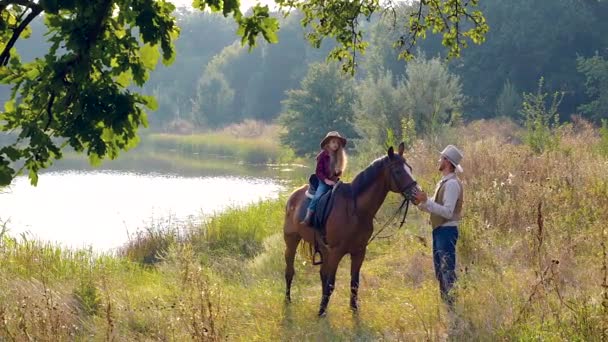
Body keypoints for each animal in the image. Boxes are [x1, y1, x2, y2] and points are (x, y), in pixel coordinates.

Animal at [282, 142, 418, 316]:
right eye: (398, 171)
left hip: (323, 249)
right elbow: (331, 283)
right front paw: (321, 312)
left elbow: (354, 282)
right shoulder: (336, 252)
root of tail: (293, 196)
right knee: (289, 271)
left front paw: (353, 309)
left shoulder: (359, 252)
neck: (356, 210)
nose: (417, 193)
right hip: (291, 240)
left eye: (410, 168)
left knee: (321, 274)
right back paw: (288, 300)